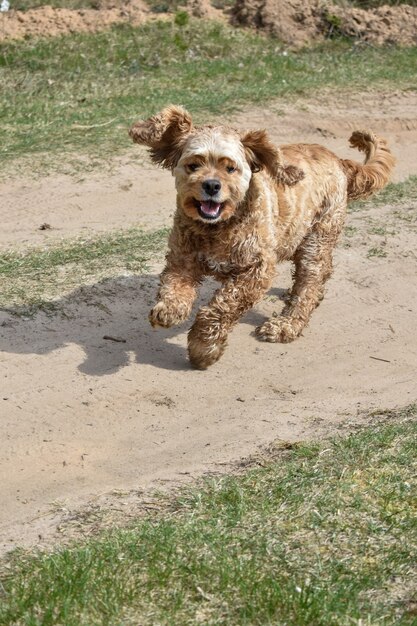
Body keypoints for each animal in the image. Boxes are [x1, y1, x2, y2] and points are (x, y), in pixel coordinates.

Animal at [129, 105, 394, 368]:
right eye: (194, 165)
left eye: (230, 168)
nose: (212, 185)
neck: (218, 227)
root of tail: (337, 159)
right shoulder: (182, 258)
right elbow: (174, 285)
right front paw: (170, 310)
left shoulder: (257, 269)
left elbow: (220, 308)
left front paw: (204, 349)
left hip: (318, 234)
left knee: (309, 283)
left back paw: (285, 324)